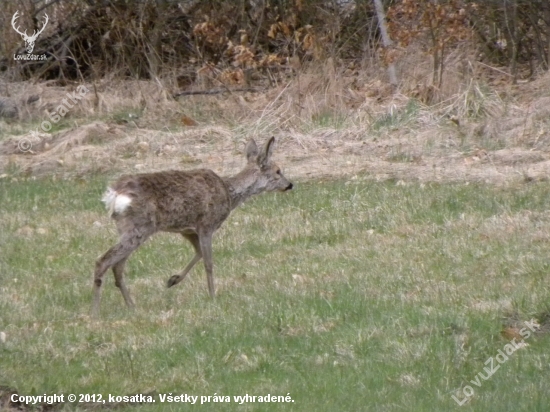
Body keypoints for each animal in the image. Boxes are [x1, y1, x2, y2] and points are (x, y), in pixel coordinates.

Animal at [91, 136, 294, 316]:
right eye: (278, 171)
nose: (290, 184)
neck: (229, 193)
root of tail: (114, 195)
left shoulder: (187, 230)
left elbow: (198, 253)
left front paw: (173, 280)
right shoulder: (207, 224)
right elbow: (208, 262)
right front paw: (213, 295)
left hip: (129, 228)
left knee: (117, 266)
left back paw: (131, 305)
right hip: (140, 227)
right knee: (103, 261)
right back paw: (96, 311)